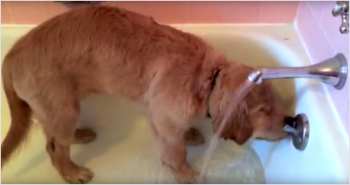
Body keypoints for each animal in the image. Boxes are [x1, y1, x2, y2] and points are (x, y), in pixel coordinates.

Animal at [0, 5, 290, 183]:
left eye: (276, 104)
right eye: (262, 111)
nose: (290, 122)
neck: (208, 78)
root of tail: (13, 53)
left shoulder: (158, 112)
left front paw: (191, 135)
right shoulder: (166, 118)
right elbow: (176, 153)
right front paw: (187, 175)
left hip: (58, 106)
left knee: (53, 136)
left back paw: (79, 135)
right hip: (62, 106)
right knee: (53, 147)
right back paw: (72, 173)